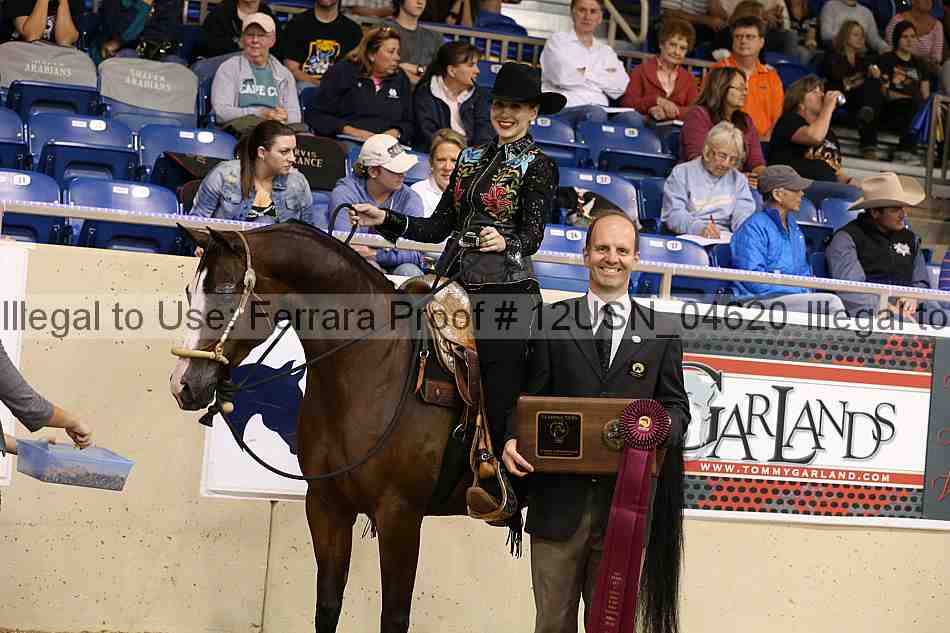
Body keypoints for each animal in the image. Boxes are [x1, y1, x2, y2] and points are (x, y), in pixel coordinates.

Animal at [168, 220, 682, 633]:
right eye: (193, 292)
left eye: (227, 291)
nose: (184, 384)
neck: (370, 366)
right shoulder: (327, 507)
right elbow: (327, 607)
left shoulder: (400, 515)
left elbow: (394, 616)